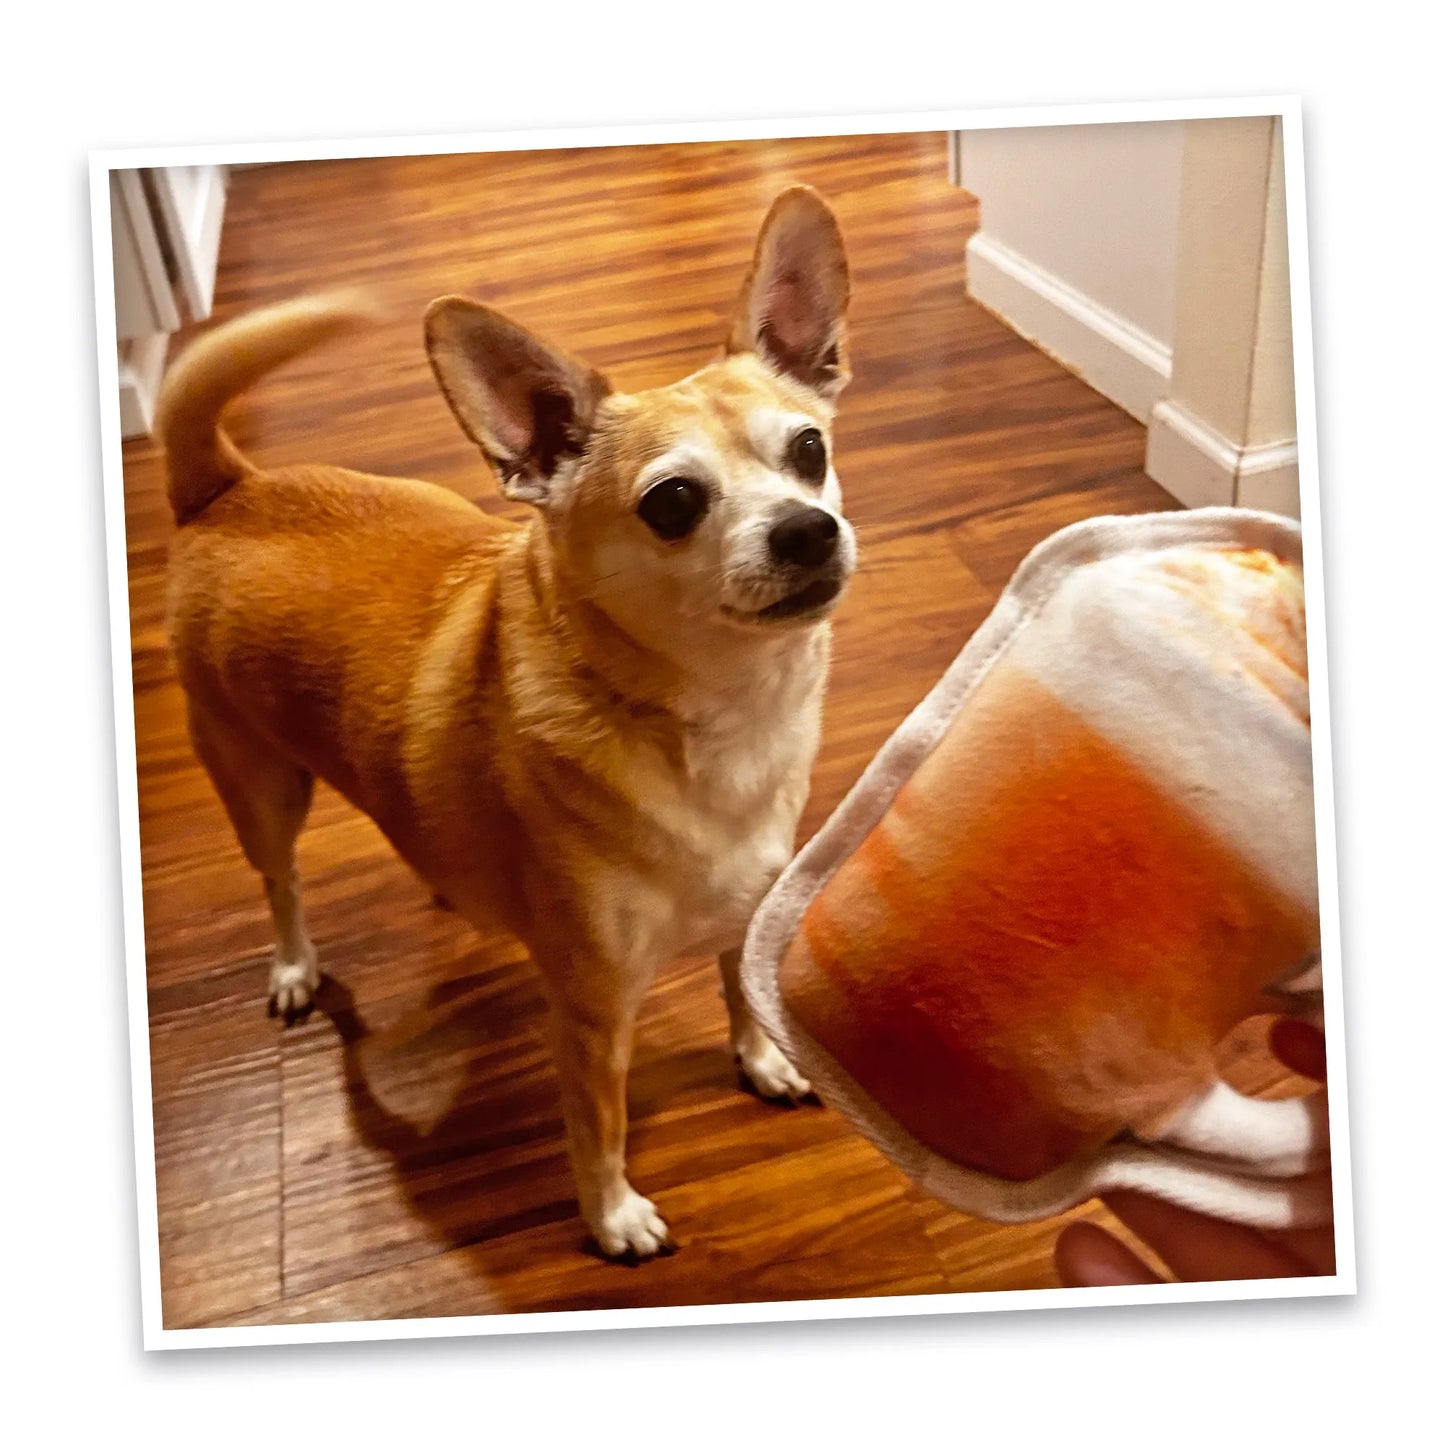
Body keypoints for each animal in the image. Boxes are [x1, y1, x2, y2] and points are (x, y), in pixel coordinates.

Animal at [158, 189, 855, 1254]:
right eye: (673, 503)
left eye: (808, 451)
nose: (808, 528)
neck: (722, 715)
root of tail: (230, 487)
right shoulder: (593, 1010)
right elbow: (598, 1123)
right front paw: (611, 1216)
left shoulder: (744, 907)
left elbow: (740, 992)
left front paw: (763, 1061)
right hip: (260, 786)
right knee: (281, 883)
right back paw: (294, 966)